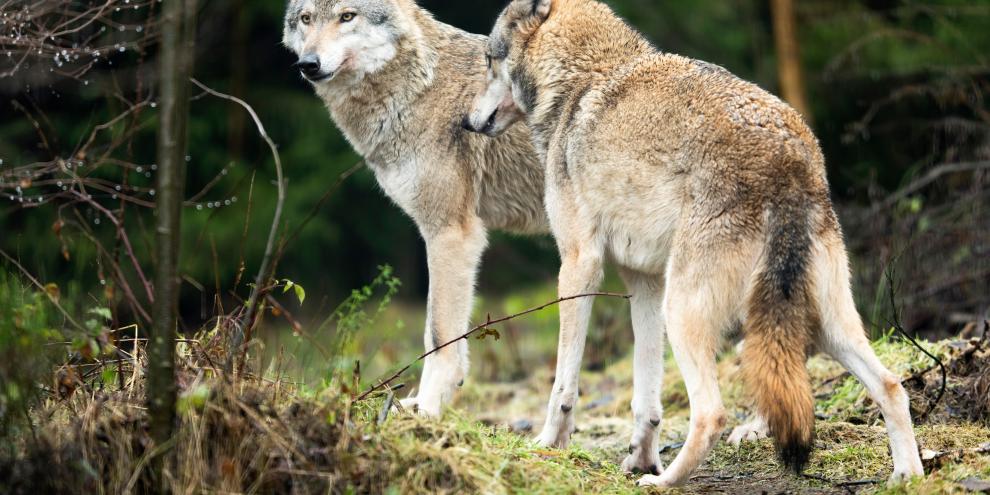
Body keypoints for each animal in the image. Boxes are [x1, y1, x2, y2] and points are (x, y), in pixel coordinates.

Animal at [283, 0, 549, 416]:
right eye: (307, 19)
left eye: (347, 16)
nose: (308, 63)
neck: (418, 87)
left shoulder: (452, 233)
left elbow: (438, 334)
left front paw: (429, 407)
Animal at [464, 0, 924, 487]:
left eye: (489, 60)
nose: (465, 121)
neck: (581, 77)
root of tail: (790, 159)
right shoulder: (644, 282)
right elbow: (646, 395)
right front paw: (639, 458)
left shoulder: (578, 264)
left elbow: (563, 383)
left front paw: (549, 445)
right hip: (822, 322)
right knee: (891, 385)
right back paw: (907, 477)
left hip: (686, 311)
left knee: (711, 413)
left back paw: (663, 483)